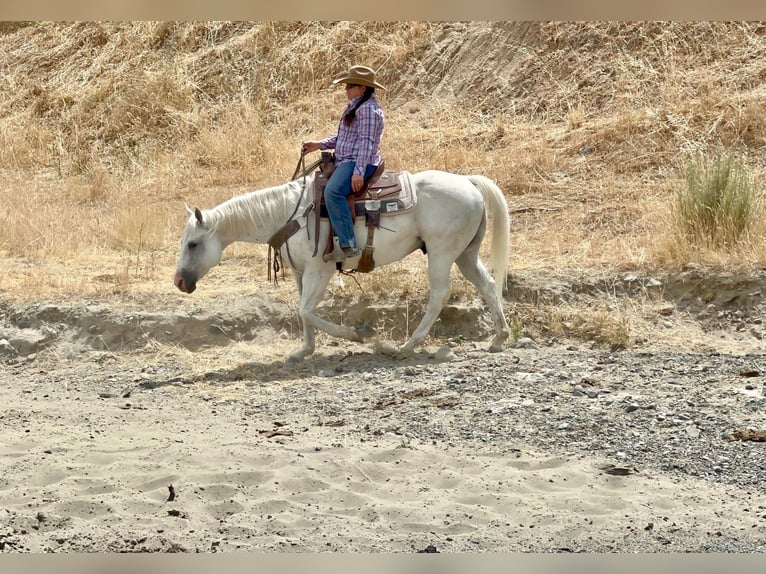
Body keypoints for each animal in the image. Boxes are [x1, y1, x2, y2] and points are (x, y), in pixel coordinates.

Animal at [174, 169, 510, 362]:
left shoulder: (319, 271)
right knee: (488, 284)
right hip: (465, 254)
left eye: (193, 244)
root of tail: (468, 182)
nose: (179, 281)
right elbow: (303, 311)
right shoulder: (300, 273)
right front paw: (304, 350)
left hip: (441, 253)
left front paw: (356, 334)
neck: (288, 212)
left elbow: (306, 311)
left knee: (439, 295)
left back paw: (406, 346)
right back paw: (499, 338)